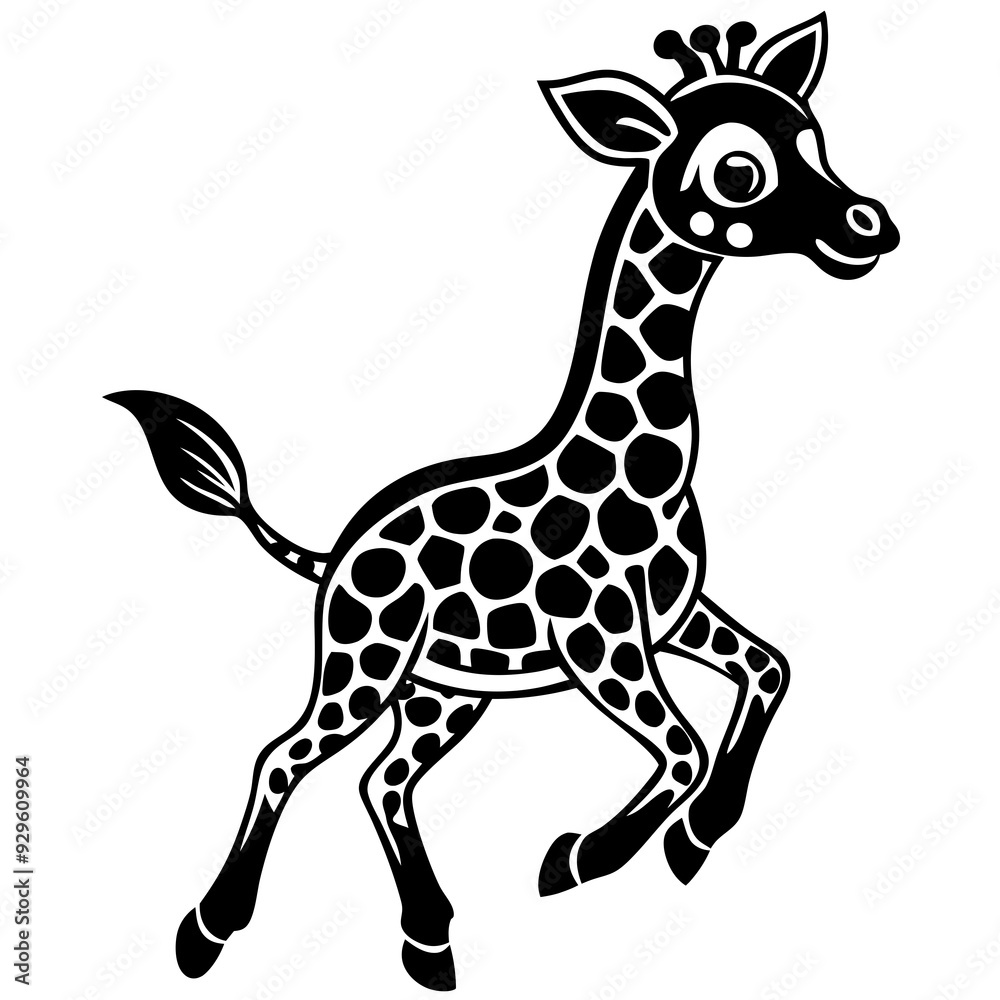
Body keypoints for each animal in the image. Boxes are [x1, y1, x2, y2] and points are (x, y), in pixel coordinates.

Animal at [109, 15, 899, 992]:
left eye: (815, 140)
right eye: (739, 170)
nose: (870, 226)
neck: (644, 471)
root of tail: (333, 557)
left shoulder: (673, 618)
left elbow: (771, 671)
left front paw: (695, 840)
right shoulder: (600, 641)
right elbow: (682, 747)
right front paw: (581, 859)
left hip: (445, 692)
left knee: (383, 780)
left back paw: (430, 941)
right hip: (365, 663)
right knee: (283, 757)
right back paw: (208, 931)